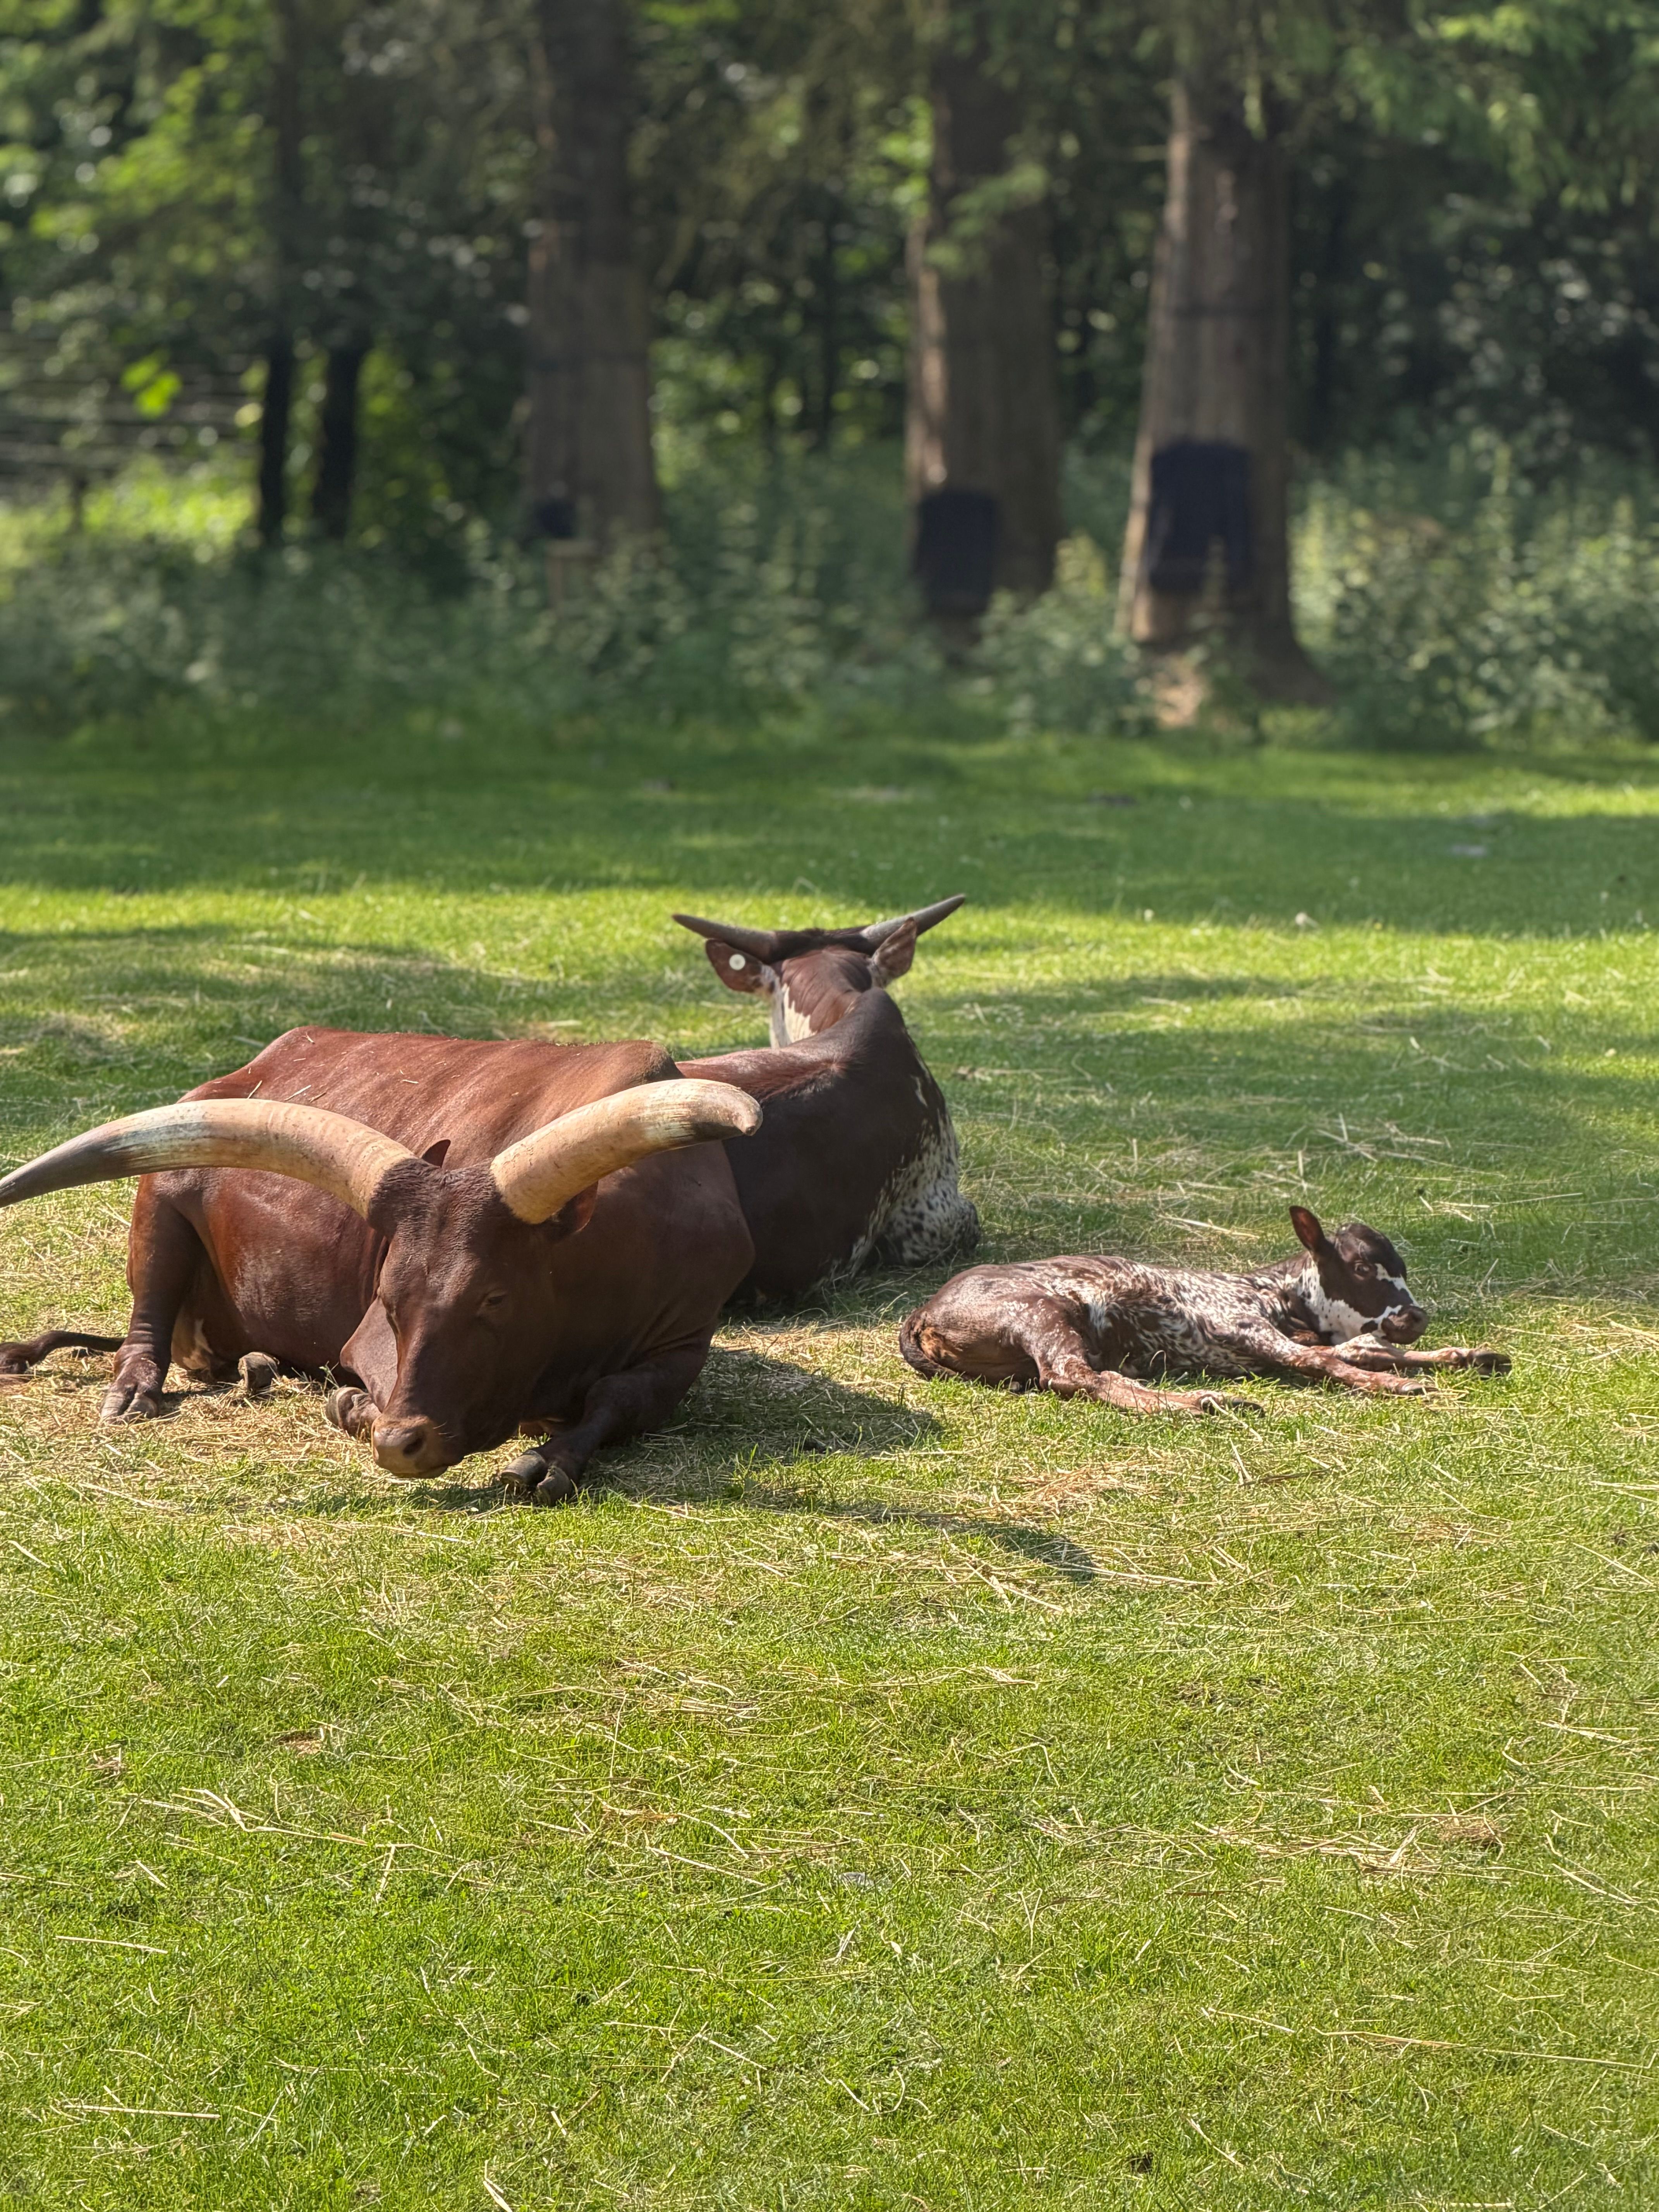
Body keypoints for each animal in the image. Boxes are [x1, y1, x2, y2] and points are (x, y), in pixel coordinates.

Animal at [0, 1031, 762, 1504]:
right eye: (389, 1300)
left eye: (494, 1298)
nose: (403, 1444)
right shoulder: (364, 1338)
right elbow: (359, 1385)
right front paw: (354, 1407)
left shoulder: (684, 1344)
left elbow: (616, 1398)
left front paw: (548, 1459)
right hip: (162, 1199)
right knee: (146, 1324)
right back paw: (135, 1388)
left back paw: (256, 1366)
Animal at [899, 1205, 1510, 1412]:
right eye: (1362, 1270)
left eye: (1403, 1270)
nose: (1415, 1315)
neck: (1275, 1293)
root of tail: (923, 1312)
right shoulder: (1244, 1329)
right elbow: (1326, 1362)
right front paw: (1396, 1386)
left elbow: (1367, 1350)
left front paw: (1467, 1355)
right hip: (1041, 1313)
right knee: (1074, 1376)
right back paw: (1203, 1403)